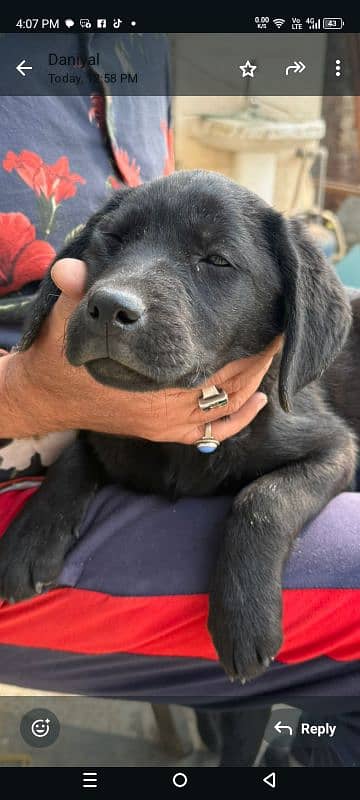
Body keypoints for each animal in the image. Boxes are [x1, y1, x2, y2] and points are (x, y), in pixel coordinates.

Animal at [1, 170, 358, 680]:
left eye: (217, 260)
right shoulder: (104, 429)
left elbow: (265, 498)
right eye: (113, 239)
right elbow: (75, 454)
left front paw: (244, 615)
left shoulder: (335, 445)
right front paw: (32, 539)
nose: (108, 308)